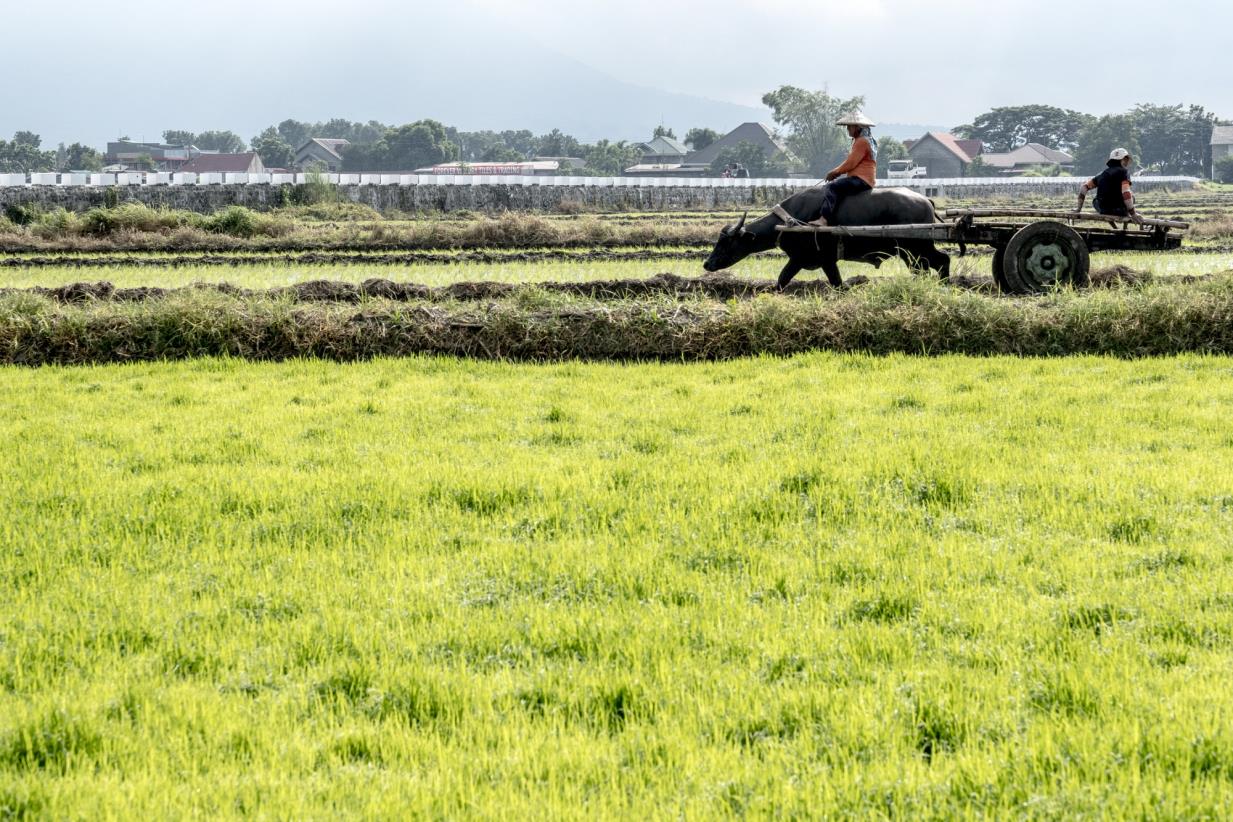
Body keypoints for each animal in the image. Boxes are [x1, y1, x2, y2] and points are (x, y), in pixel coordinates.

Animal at [705, 186, 951, 289]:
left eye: (726, 242)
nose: (707, 264)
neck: (793, 220)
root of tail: (925, 200)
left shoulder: (815, 259)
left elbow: (784, 279)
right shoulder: (814, 261)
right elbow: (784, 281)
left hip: (917, 247)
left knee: (942, 260)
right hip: (910, 252)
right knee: (927, 267)